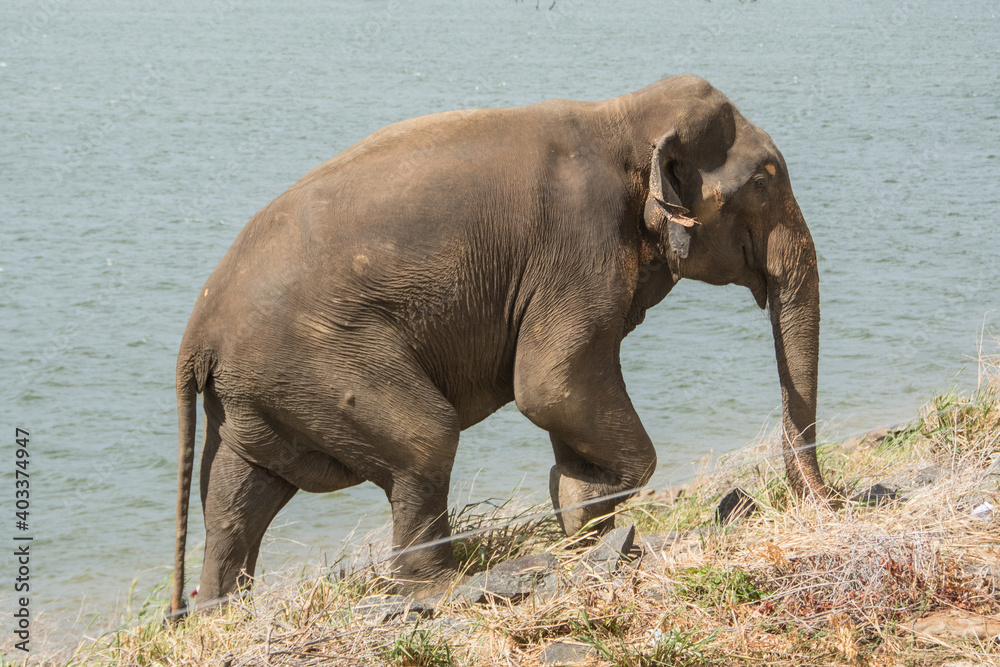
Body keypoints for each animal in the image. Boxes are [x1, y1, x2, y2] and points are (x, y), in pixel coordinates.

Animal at [170, 74, 825, 616]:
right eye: (762, 183)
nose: (824, 499)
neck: (620, 115)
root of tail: (195, 335)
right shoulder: (577, 243)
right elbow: (553, 383)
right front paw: (580, 509)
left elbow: (572, 390)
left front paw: (582, 515)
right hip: (323, 361)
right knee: (425, 437)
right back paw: (438, 587)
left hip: (261, 391)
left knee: (237, 495)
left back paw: (222, 613)